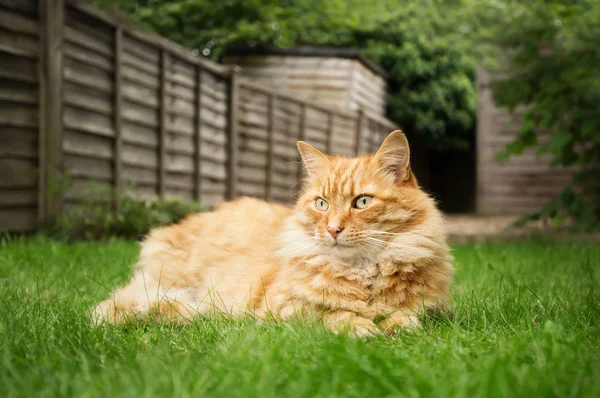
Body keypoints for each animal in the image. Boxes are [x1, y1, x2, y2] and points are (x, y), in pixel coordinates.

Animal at [92, 131, 450, 336]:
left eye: (362, 201)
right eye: (321, 203)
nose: (332, 229)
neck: (361, 273)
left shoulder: (432, 309)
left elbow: (406, 316)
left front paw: (395, 324)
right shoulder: (280, 309)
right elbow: (328, 315)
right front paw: (359, 326)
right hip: (172, 284)